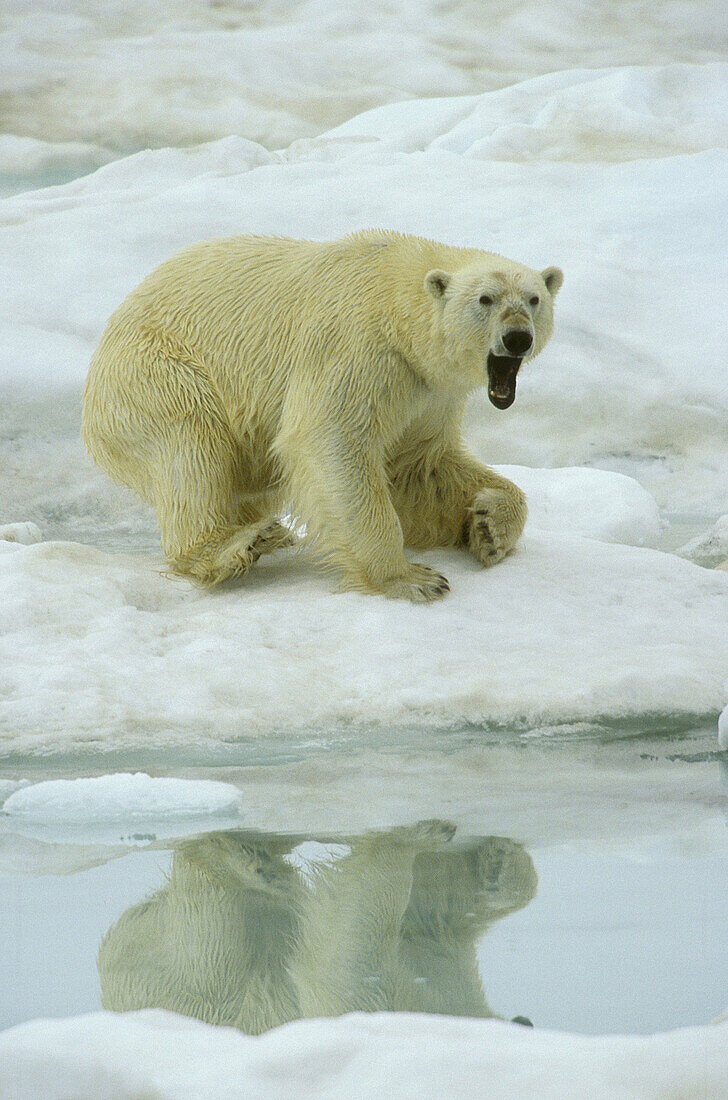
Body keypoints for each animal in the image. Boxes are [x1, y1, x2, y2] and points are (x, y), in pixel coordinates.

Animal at [81, 231, 563, 602]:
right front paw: (412, 578)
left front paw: (488, 527)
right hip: (155, 373)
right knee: (191, 448)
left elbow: (418, 467)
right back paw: (233, 545)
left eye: (534, 299)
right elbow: (332, 440)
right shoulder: (358, 350)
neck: (396, 302)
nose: (517, 337)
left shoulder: (429, 392)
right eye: (485, 299)